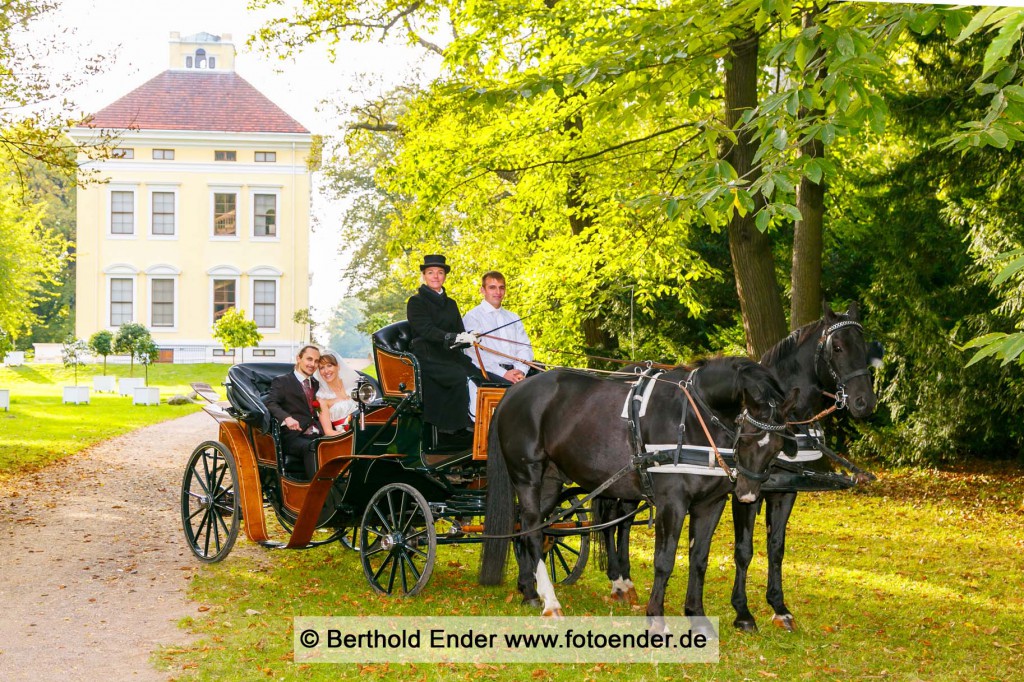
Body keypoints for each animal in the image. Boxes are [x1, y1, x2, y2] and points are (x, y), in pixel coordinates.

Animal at [479, 352, 798, 618]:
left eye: (777, 446)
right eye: (746, 438)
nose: (748, 494)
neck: (694, 417)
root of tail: (514, 391)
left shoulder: (711, 504)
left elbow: (699, 558)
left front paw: (696, 615)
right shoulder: (672, 501)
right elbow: (664, 560)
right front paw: (656, 616)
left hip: (550, 481)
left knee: (527, 526)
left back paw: (530, 590)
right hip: (527, 475)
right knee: (534, 530)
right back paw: (550, 600)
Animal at [729, 301, 880, 630]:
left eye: (864, 347)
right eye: (837, 347)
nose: (865, 402)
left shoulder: (785, 492)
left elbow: (776, 547)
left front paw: (778, 605)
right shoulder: (745, 492)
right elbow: (744, 550)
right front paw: (742, 612)